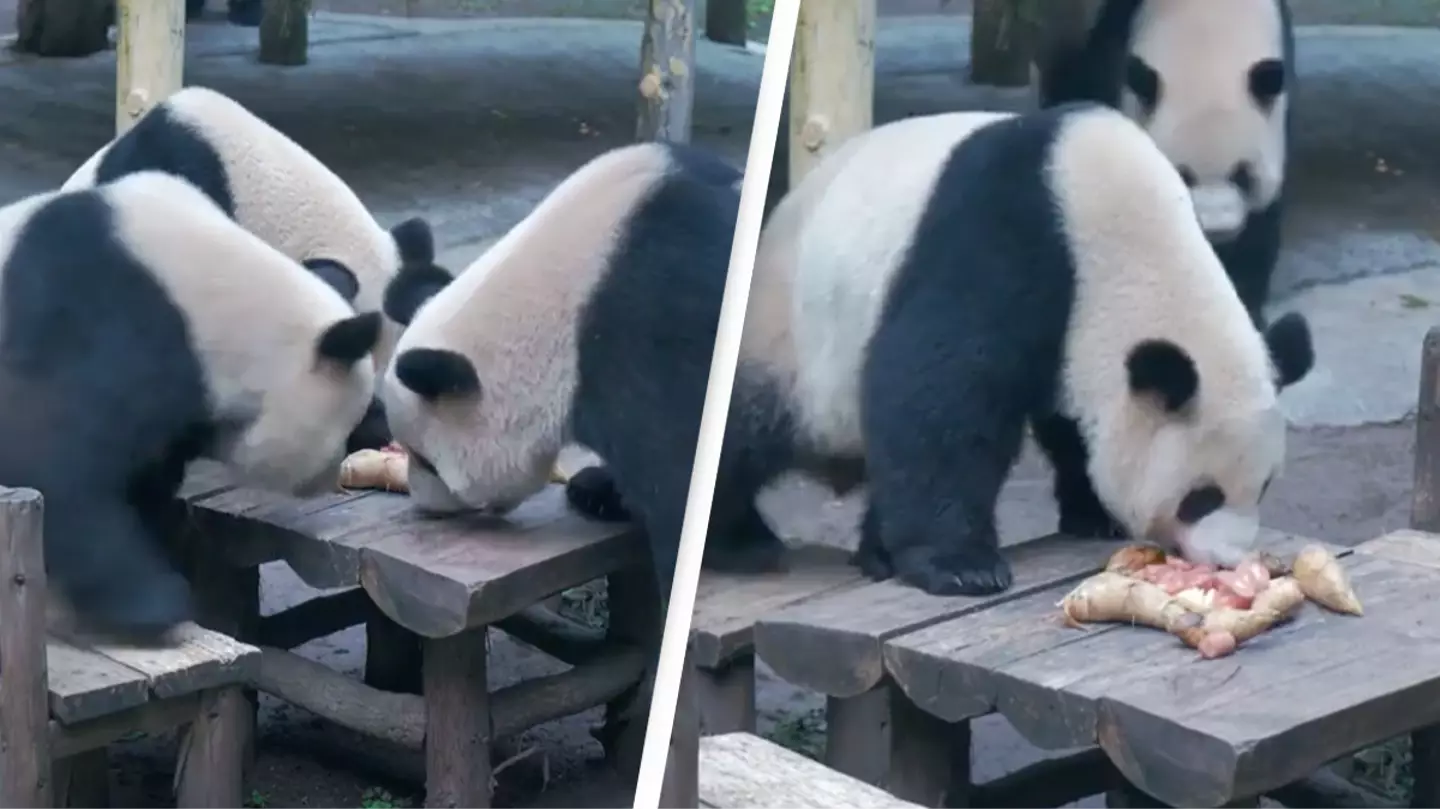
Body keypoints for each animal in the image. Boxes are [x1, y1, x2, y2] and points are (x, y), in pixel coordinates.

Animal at [691, 100, 1313, 593]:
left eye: (1264, 485)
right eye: (1200, 496)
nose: (1229, 559)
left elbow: (1068, 423)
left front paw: (1094, 513)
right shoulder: (1005, 236)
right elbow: (939, 394)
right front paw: (962, 566)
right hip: (784, 339)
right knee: (737, 431)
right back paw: (739, 541)